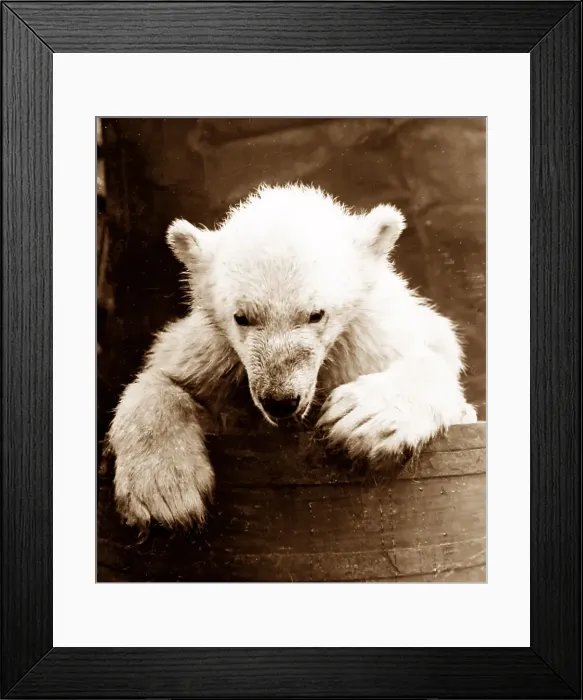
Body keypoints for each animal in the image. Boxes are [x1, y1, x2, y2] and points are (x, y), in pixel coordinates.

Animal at [108, 183, 477, 531]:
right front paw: (162, 492)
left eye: (316, 314)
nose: (280, 400)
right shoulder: (213, 354)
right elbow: (163, 377)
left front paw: (362, 417)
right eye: (241, 317)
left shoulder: (371, 338)